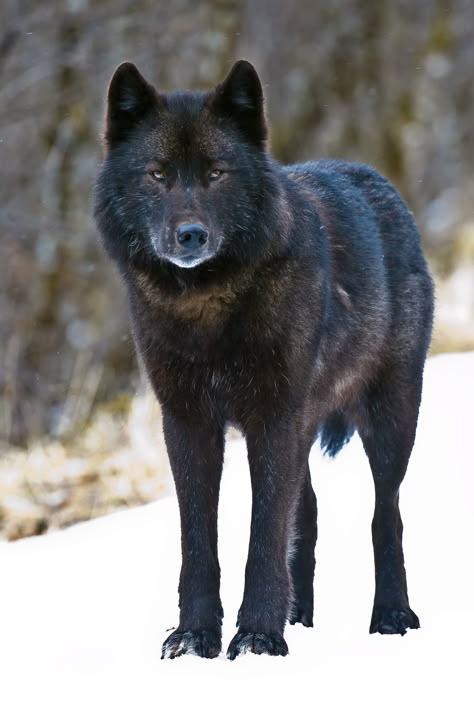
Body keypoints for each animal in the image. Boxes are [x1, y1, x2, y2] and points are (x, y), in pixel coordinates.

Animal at [94, 59, 436, 660]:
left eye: (217, 173)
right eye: (157, 175)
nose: (190, 235)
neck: (206, 313)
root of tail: (378, 180)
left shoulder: (274, 418)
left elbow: (264, 536)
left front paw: (256, 636)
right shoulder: (188, 424)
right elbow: (198, 543)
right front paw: (194, 637)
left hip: (390, 421)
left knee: (385, 514)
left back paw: (391, 616)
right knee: (310, 513)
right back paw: (300, 616)